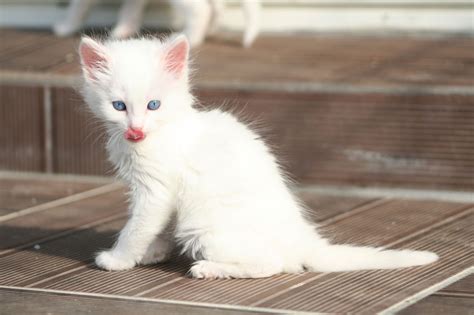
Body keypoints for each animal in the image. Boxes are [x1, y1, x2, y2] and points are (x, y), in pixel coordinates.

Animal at [78, 35, 436, 280]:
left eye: (154, 105)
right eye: (119, 107)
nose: (135, 129)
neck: (162, 131)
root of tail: (304, 239)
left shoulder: (156, 190)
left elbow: (137, 226)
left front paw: (119, 258)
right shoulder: (152, 192)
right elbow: (154, 226)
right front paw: (155, 251)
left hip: (203, 227)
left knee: (273, 264)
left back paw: (209, 268)